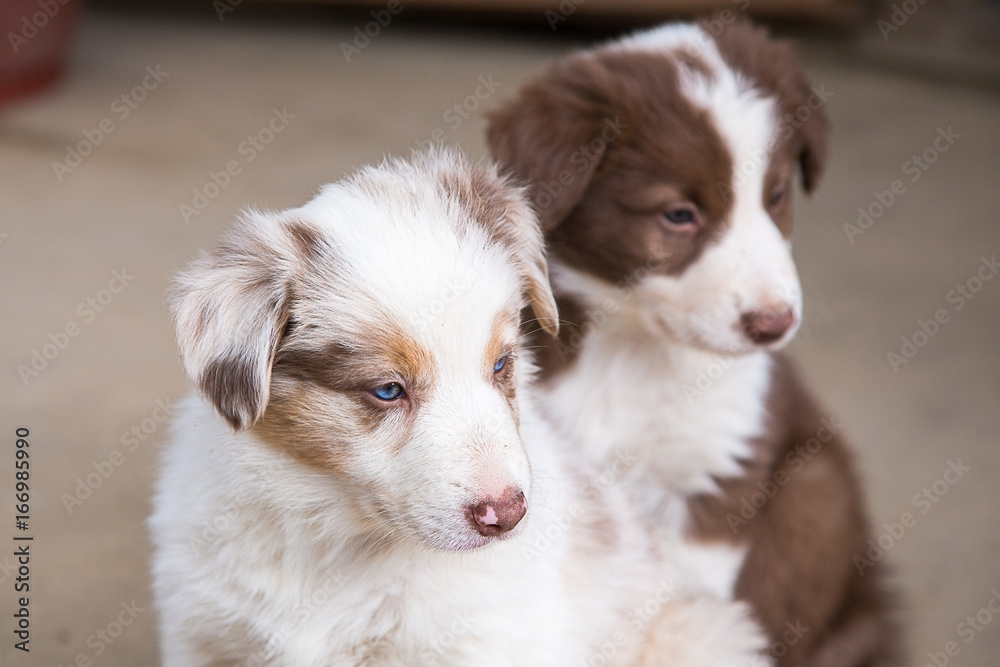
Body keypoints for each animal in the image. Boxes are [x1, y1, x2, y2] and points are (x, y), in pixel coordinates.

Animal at [486, 18, 900, 664]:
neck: (634, 350)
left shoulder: (717, 473)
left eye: (775, 196)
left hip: (815, 494)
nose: (774, 322)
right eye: (678, 214)